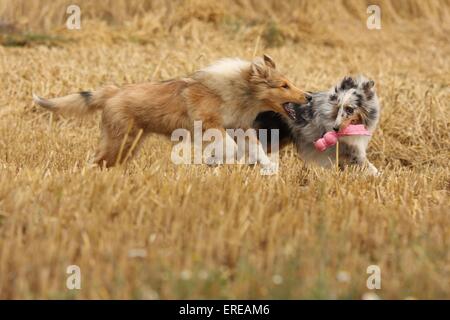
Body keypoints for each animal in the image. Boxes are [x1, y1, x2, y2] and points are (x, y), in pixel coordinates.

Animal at [33, 55, 308, 169]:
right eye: (284, 86)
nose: (308, 96)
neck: (237, 91)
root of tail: (111, 92)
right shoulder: (209, 126)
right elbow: (230, 147)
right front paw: (215, 160)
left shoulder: (240, 128)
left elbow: (257, 149)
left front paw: (267, 169)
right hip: (120, 141)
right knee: (96, 162)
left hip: (127, 145)